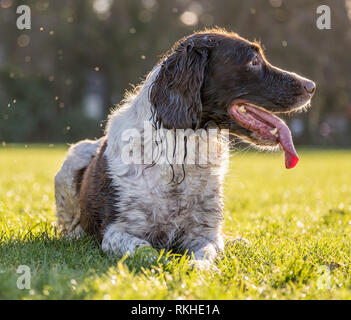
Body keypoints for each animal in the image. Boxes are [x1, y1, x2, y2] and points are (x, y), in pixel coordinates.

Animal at [54, 28, 316, 268]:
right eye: (253, 62)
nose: (311, 85)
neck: (181, 155)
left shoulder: (203, 232)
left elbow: (207, 253)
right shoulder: (115, 231)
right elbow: (147, 251)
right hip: (72, 163)